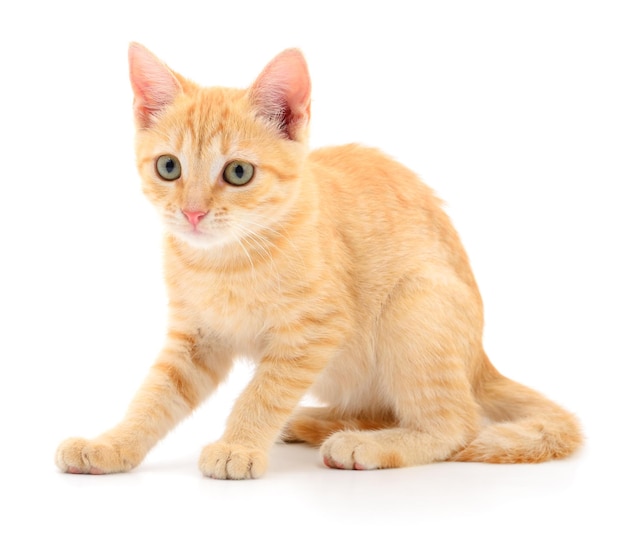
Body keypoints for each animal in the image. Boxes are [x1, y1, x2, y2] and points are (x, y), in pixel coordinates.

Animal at [53, 44, 580, 478]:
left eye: (238, 172)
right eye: (169, 167)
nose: (193, 212)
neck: (225, 262)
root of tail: (480, 359)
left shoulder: (315, 330)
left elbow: (263, 391)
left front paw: (238, 445)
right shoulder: (194, 339)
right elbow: (154, 397)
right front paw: (111, 444)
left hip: (413, 306)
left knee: (456, 425)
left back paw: (366, 444)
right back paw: (316, 422)